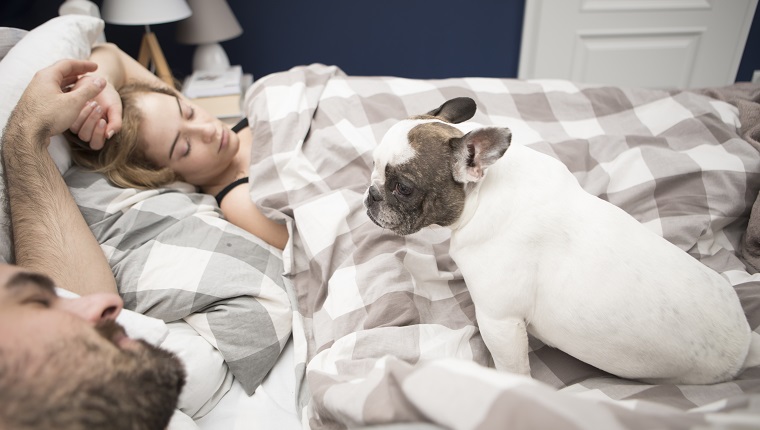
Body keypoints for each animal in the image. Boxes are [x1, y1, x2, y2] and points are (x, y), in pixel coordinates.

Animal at [366, 97, 756, 382]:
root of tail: (746, 348)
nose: (371, 194)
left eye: (403, 187)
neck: (485, 192)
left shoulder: (500, 321)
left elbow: (513, 369)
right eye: (373, 165)